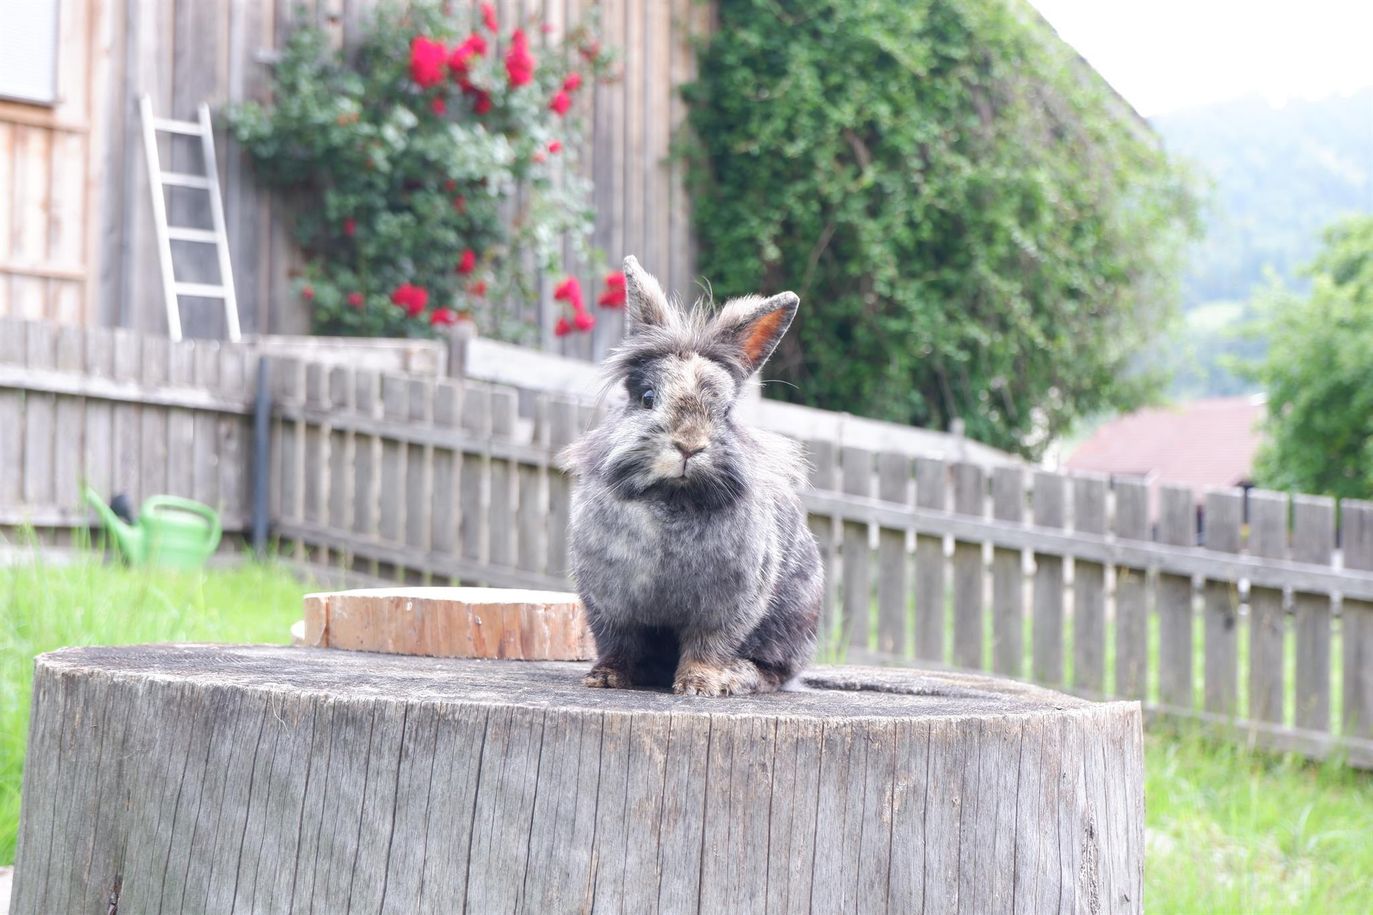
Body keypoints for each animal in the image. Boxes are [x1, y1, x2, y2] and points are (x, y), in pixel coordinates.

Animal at [560, 255, 823, 697]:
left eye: (726, 412)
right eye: (647, 398)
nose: (689, 445)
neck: (673, 498)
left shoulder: (726, 609)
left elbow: (708, 645)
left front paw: (699, 686)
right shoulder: (608, 605)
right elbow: (617, 644)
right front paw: (604, 678)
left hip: (792, 622)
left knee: (774, 671)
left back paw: (739, 676)